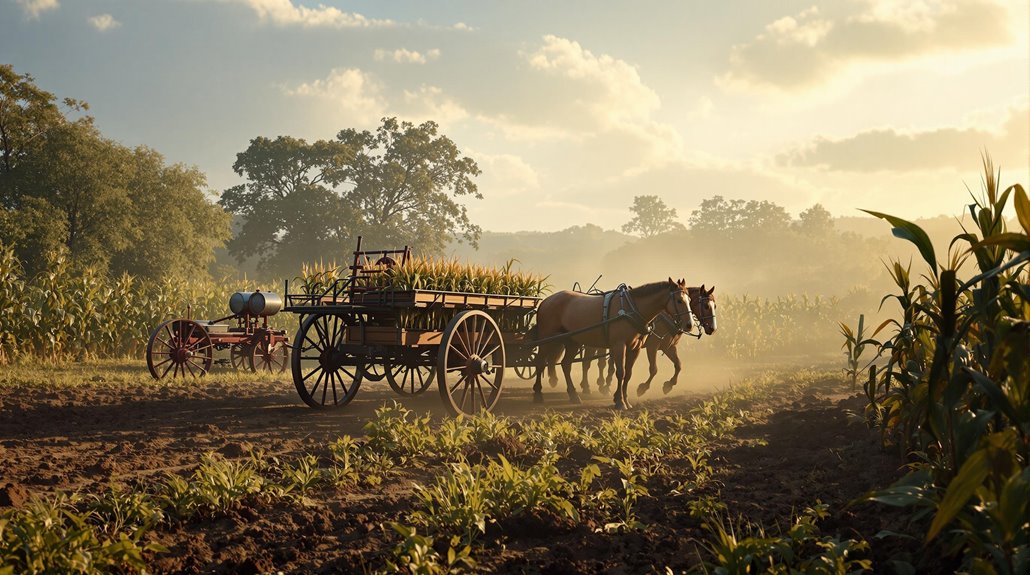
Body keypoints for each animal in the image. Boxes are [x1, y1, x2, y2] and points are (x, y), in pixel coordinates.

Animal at [531, 280, 692, 410]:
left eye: (689, 299)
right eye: (679, 300)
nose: (689, 325)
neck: (631, 308)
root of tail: (546, 301)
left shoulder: (635, 348)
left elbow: (629, 374)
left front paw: (626, 400)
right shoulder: (620, 345)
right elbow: (620, 372)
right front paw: (620, 401)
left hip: (572, 341)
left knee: (566, 364)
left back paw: (573, 395)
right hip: (547, 338)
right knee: (540, 362)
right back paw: (538, 394)